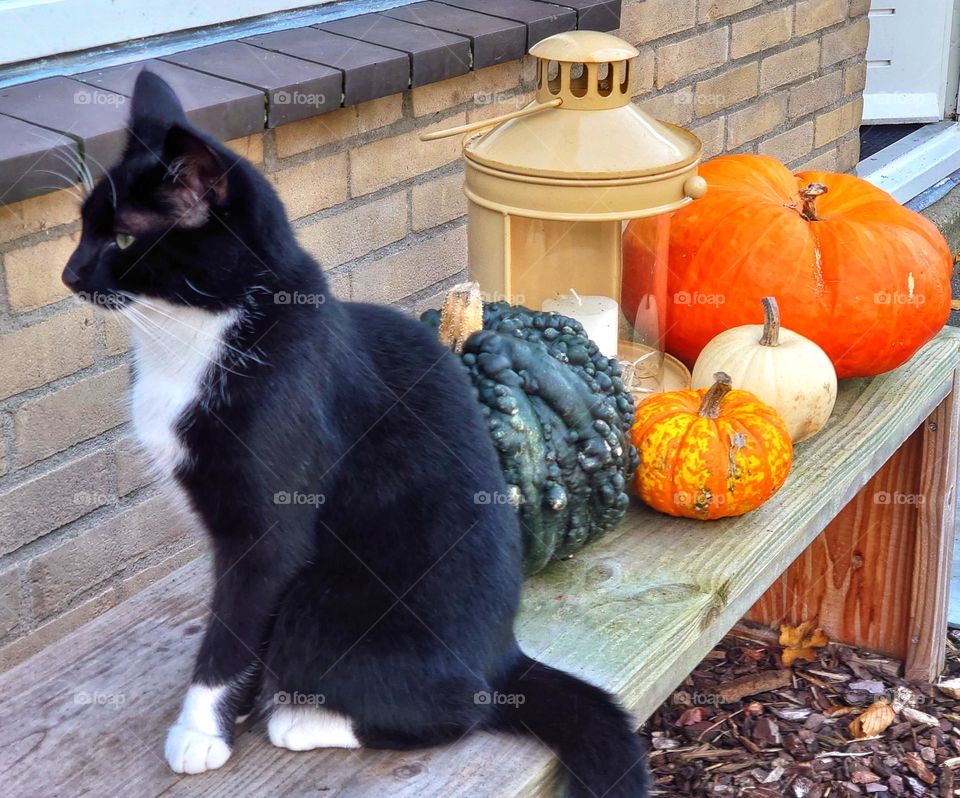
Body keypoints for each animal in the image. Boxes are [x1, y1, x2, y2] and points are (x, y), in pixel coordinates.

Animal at [62, 70, 652, 798]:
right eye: (82, 228)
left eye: (121, 240)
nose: (69, 273)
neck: (203, 336)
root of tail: (503, 657)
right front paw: (237, 707)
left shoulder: (268, 529)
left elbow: (234, 624)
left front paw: (200, 729)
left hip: (328, 602)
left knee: (462, 707)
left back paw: (303, 719)